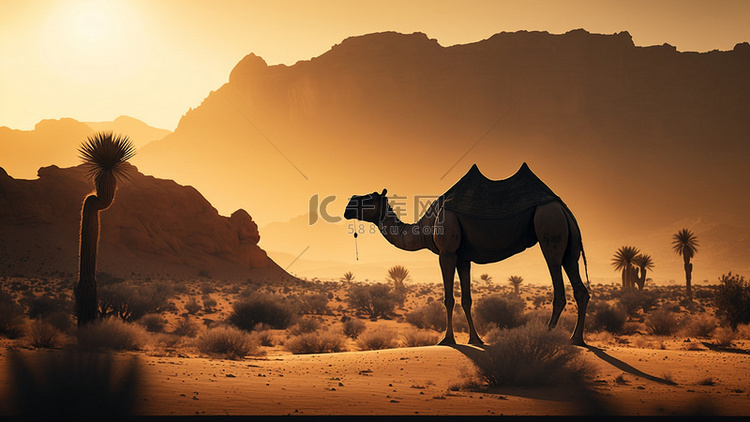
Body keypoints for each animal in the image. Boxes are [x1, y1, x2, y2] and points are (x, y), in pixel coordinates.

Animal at [344, 163, 592, 344]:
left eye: (369, 198)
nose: (348, 205)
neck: (426, 228)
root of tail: (564, 207)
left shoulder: (446, 252)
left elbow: (449, 298)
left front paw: (447, 340)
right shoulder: (463, 257)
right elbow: (466, 299)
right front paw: (475, 339)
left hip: (549, 224)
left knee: (558, 284)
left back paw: (547, 337)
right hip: (568, 238)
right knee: (579, 286)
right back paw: (576, 339)